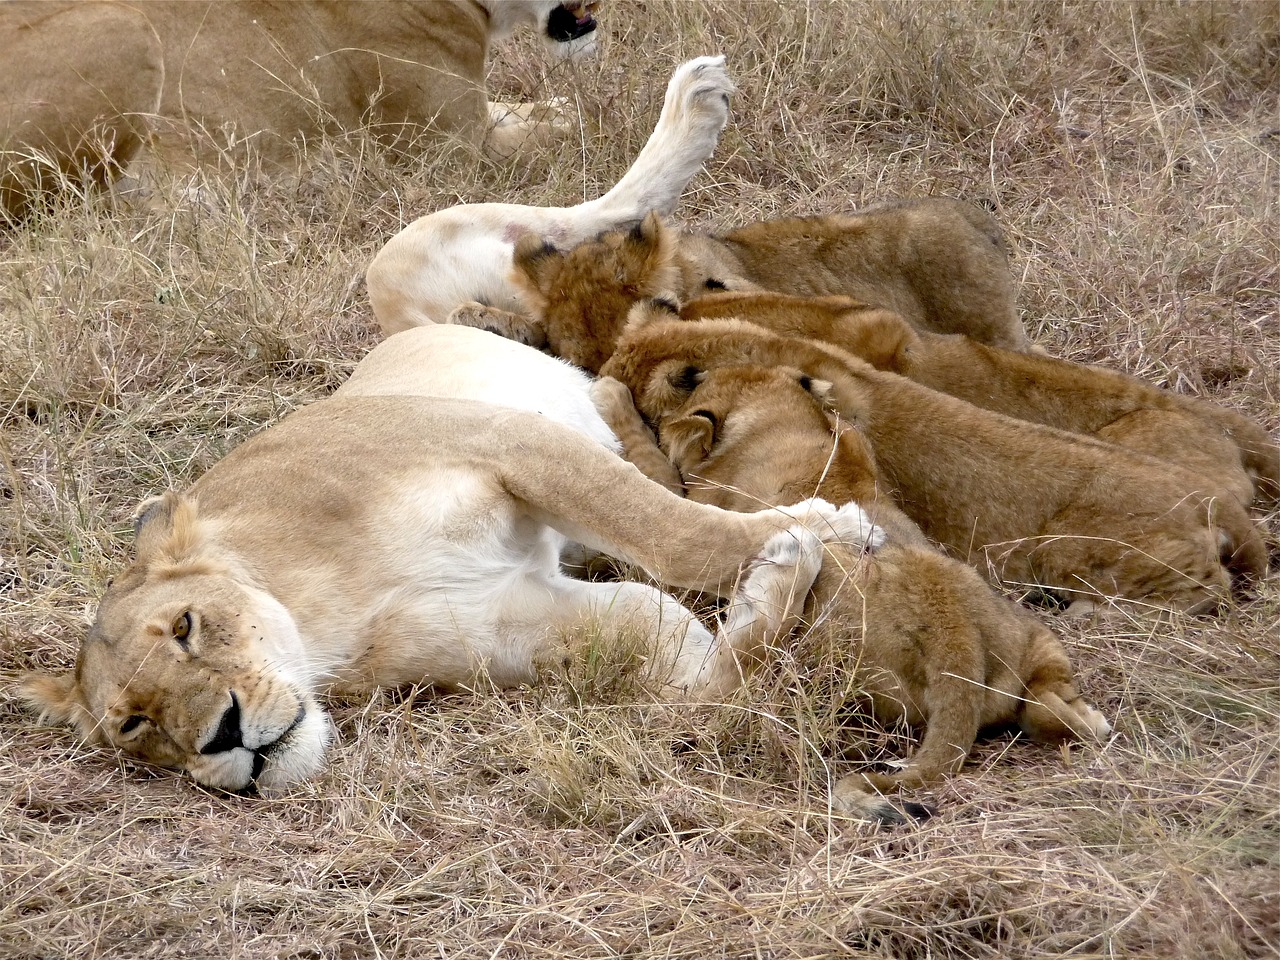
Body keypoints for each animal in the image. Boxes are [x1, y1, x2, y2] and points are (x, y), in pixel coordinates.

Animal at [22, 323, 880, 798]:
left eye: (187, 627)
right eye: (134, 725)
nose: (221, 737)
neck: (321, 618)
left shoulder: (504, 440)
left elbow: (671, 531)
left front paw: (826, 525)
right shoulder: (512, 620)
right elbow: (711, 685)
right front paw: (781, 572)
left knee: (626, 431)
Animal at [588, 363, 1111, 824]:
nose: (686, 372)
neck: (783, 419)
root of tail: (956, 639)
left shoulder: (690, 516)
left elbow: (649, 466)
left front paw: (609, 395)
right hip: (1037, 642)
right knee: (1053, 714)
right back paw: (1093, 720)